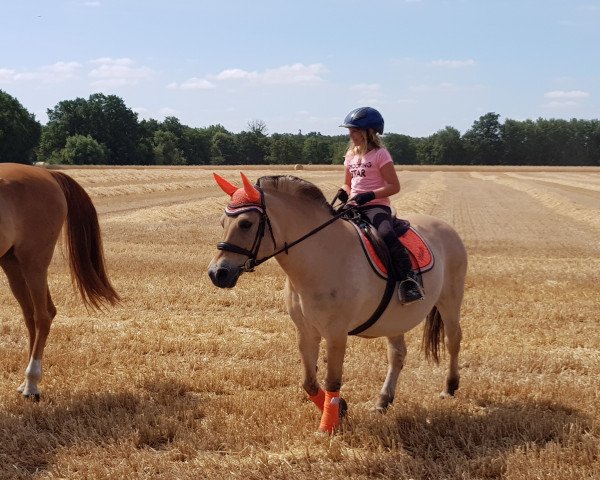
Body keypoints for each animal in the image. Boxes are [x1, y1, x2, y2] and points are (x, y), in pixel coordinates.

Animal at [0, 163, 119, 400]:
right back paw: (25, 383)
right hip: (12, 264)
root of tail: (48, 174)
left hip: (34, 261)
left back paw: (31, 384)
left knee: (43, 317)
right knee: (32, 316)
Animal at [209, 173, 466, 436]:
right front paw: (340, 407)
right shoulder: (306, 331)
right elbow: (309, 382)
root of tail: (446, 227)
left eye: (245, 224)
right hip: (394, 320)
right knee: (397, 355)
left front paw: (327, 427)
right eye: (222, 223)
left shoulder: (336, 334)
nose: (217, 273)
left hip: (450, 300)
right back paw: (383, 401)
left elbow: (332, 379)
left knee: (453, 340)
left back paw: (449, 387)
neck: (320, 258)